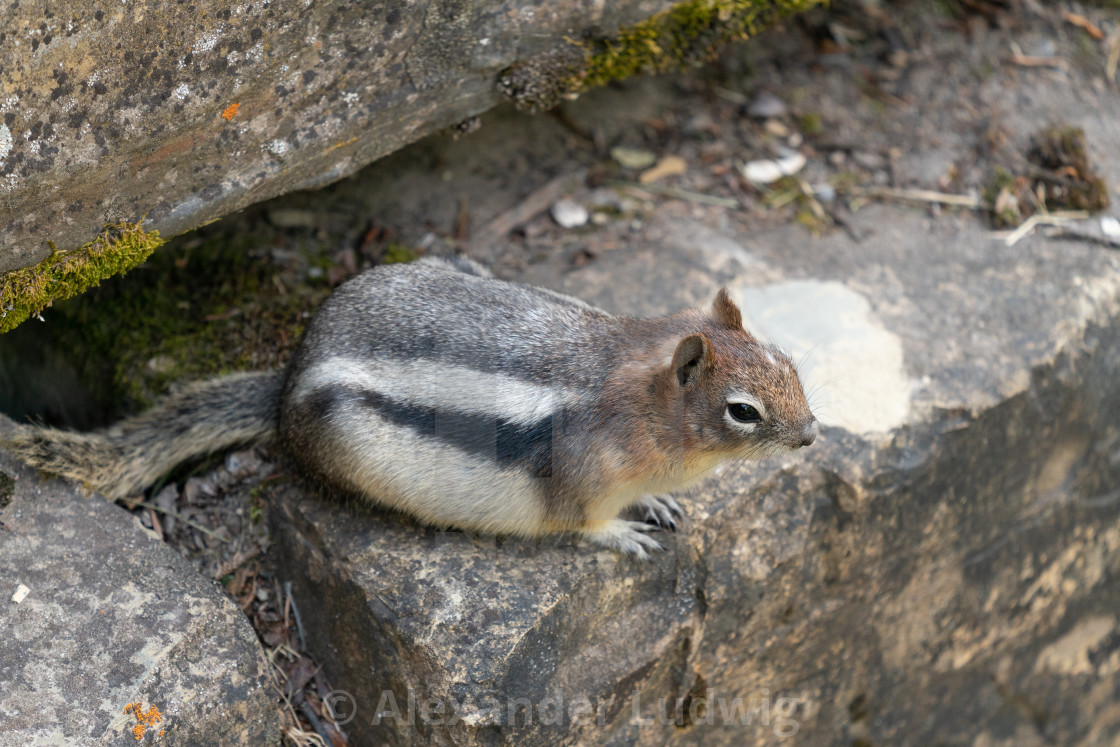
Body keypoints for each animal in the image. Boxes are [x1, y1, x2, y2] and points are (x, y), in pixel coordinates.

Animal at [6, 257, 815, 555]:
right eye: (743, 411)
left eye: (789, 362)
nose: (811, 435)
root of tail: (285, 383)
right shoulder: (580, 477)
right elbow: (582, 525)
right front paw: (623, 534)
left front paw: (658, 505)